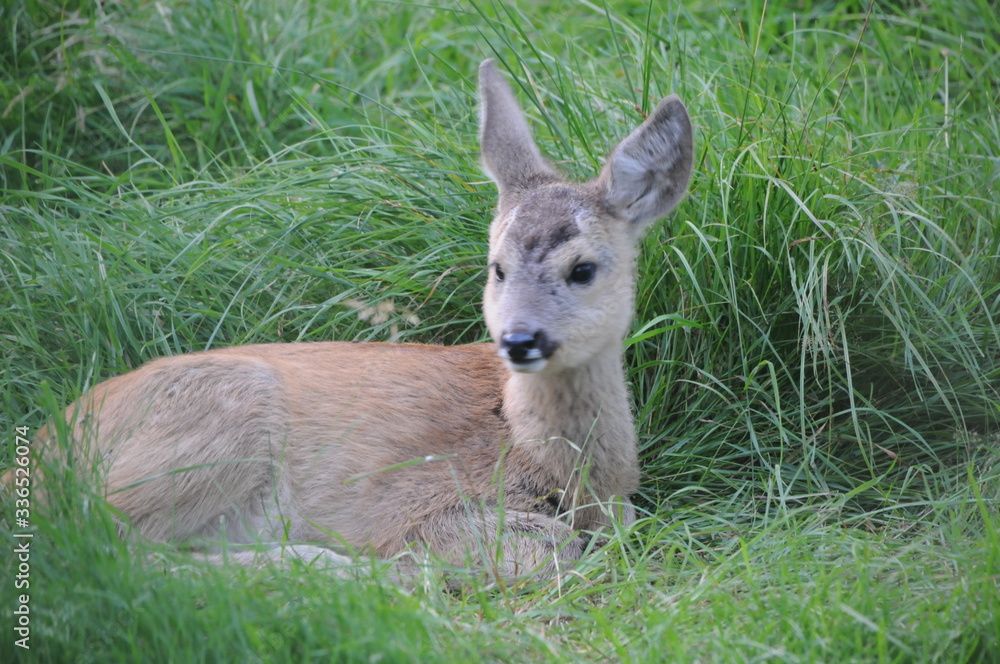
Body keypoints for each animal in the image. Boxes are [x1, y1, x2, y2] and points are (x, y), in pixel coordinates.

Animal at [17, 59, 693, 581]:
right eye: (497, 267)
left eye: (584, 269)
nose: (520, 339)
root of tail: (27, 468)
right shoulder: (415, 502)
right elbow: (552, 548)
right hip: (220, 418)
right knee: (101, 548)